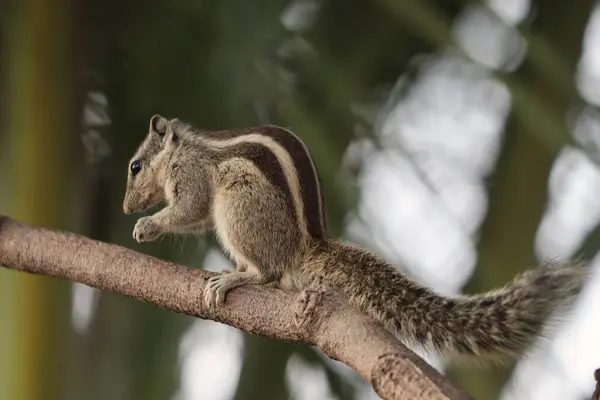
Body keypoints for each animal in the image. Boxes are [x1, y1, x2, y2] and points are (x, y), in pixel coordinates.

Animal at [124, 114, 588, 360]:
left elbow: (192, 209)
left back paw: (240, 275)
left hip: (241, 205)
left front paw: (148, 225)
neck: (182, 149)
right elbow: (197, 218)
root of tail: (305, 249)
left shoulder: (194, 176)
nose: (127, 208)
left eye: (134, 166)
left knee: (270, 272)